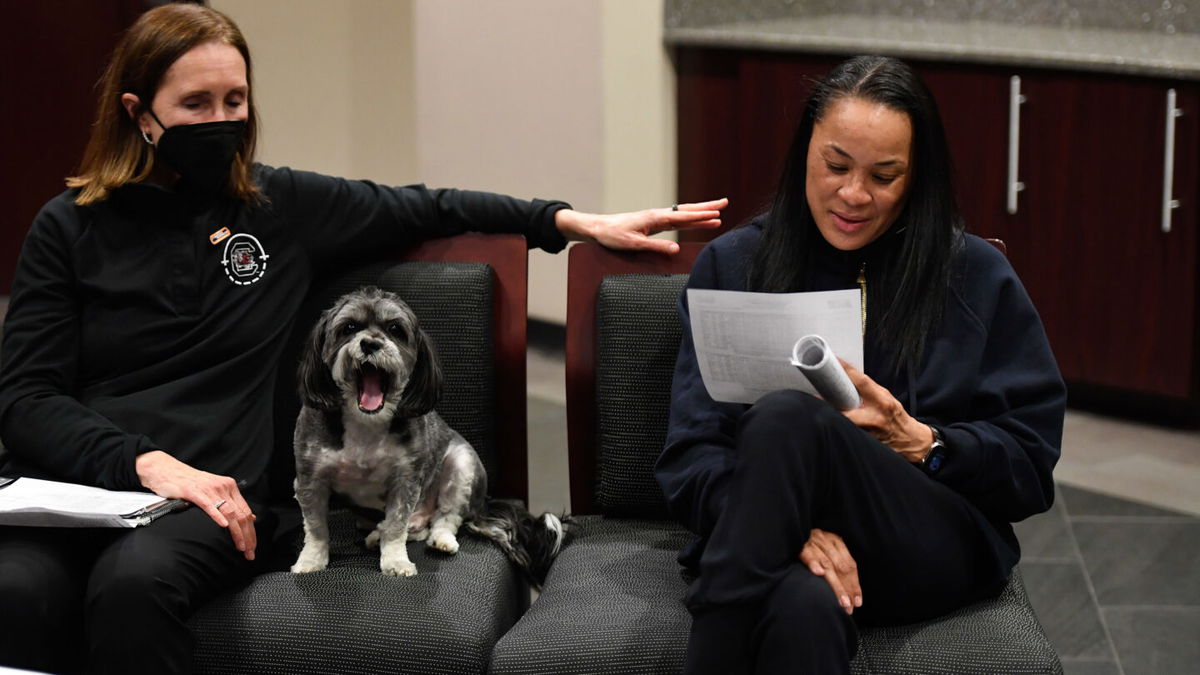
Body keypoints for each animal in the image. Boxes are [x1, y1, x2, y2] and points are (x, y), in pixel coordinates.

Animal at [292, 283, 568, 578]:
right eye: (349, 327)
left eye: (395, 329)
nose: (370, 343)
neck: (366, 422)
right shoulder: (310, 478)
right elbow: (316, 528)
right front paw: (311, 560)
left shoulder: (406, 481)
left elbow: (396, 527)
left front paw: (396, 562)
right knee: (413, 528)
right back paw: (377, 536)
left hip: (462, 467)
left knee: (444, 518)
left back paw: (441, 540)